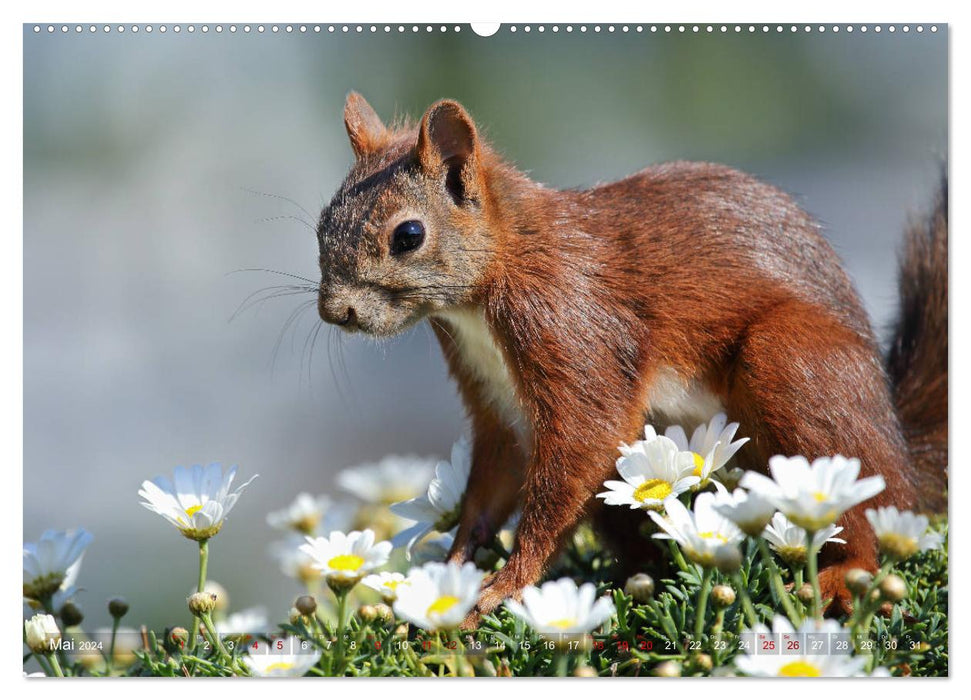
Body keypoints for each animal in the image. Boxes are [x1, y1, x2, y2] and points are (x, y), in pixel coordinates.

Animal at [316, 91, 944, 624]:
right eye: (323, 224)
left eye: (409, 235)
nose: (334, 312)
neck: (494, 279)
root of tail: (900, 449)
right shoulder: (494, 399)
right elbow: (489, 484)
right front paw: (455, 569)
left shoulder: (571, 324)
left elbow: (583, 445)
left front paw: (508, 583)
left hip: (794, 363)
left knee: (869, 508)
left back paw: (845, 572)